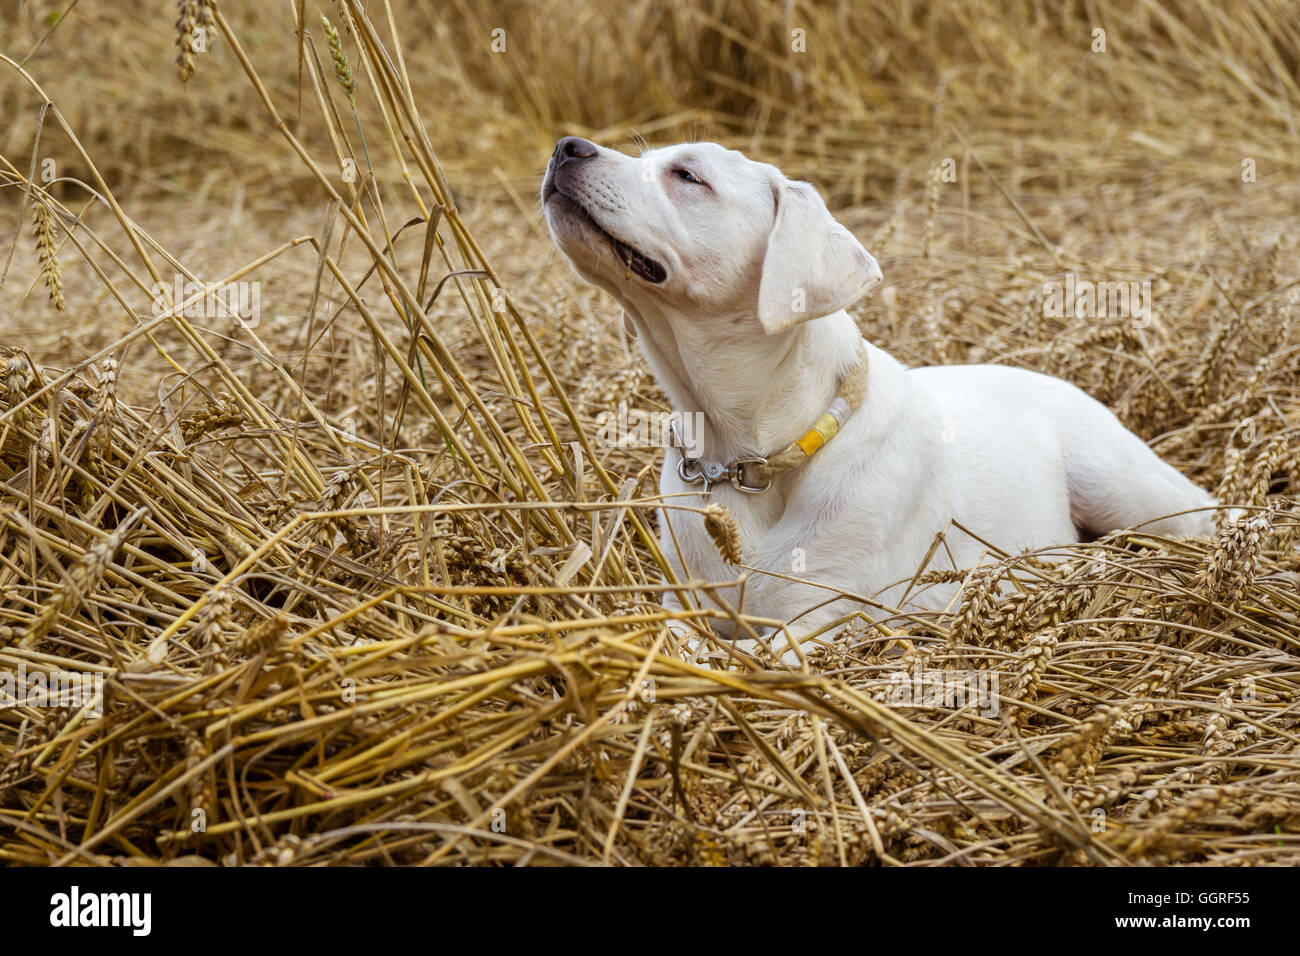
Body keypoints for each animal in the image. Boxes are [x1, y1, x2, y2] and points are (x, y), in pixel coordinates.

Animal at [538, 136, 1216, 665]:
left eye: (688, 176)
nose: (565, 147)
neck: (749, 454)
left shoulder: (824, 615)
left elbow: (752, 652)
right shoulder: (682, 601)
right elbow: (681, 640)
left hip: (1127, 488)